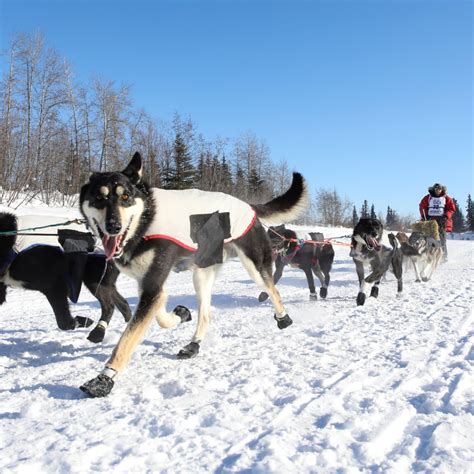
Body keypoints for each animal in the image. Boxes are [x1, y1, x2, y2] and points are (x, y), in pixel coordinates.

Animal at [0, 213, 131, 342]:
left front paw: (80, 321)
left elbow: (64, 322)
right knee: (123, 304)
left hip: (95, 281)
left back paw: (98, 333)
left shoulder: (54, 286)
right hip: (103, 281)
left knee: (109, 306)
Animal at [78, 152, 308, 396]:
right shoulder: (150, 285)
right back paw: (193, 344)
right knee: (205, 316)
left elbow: (126, 340)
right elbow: (160, 315)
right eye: (99, 198)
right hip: (201, 275)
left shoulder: (152, 285)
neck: (145, 222)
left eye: (125, 197)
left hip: (254, 266)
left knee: (273, 291)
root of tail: (248, 206)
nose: (114, 226)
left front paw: (103, 379)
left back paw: (284, 318)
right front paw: (180, 314)